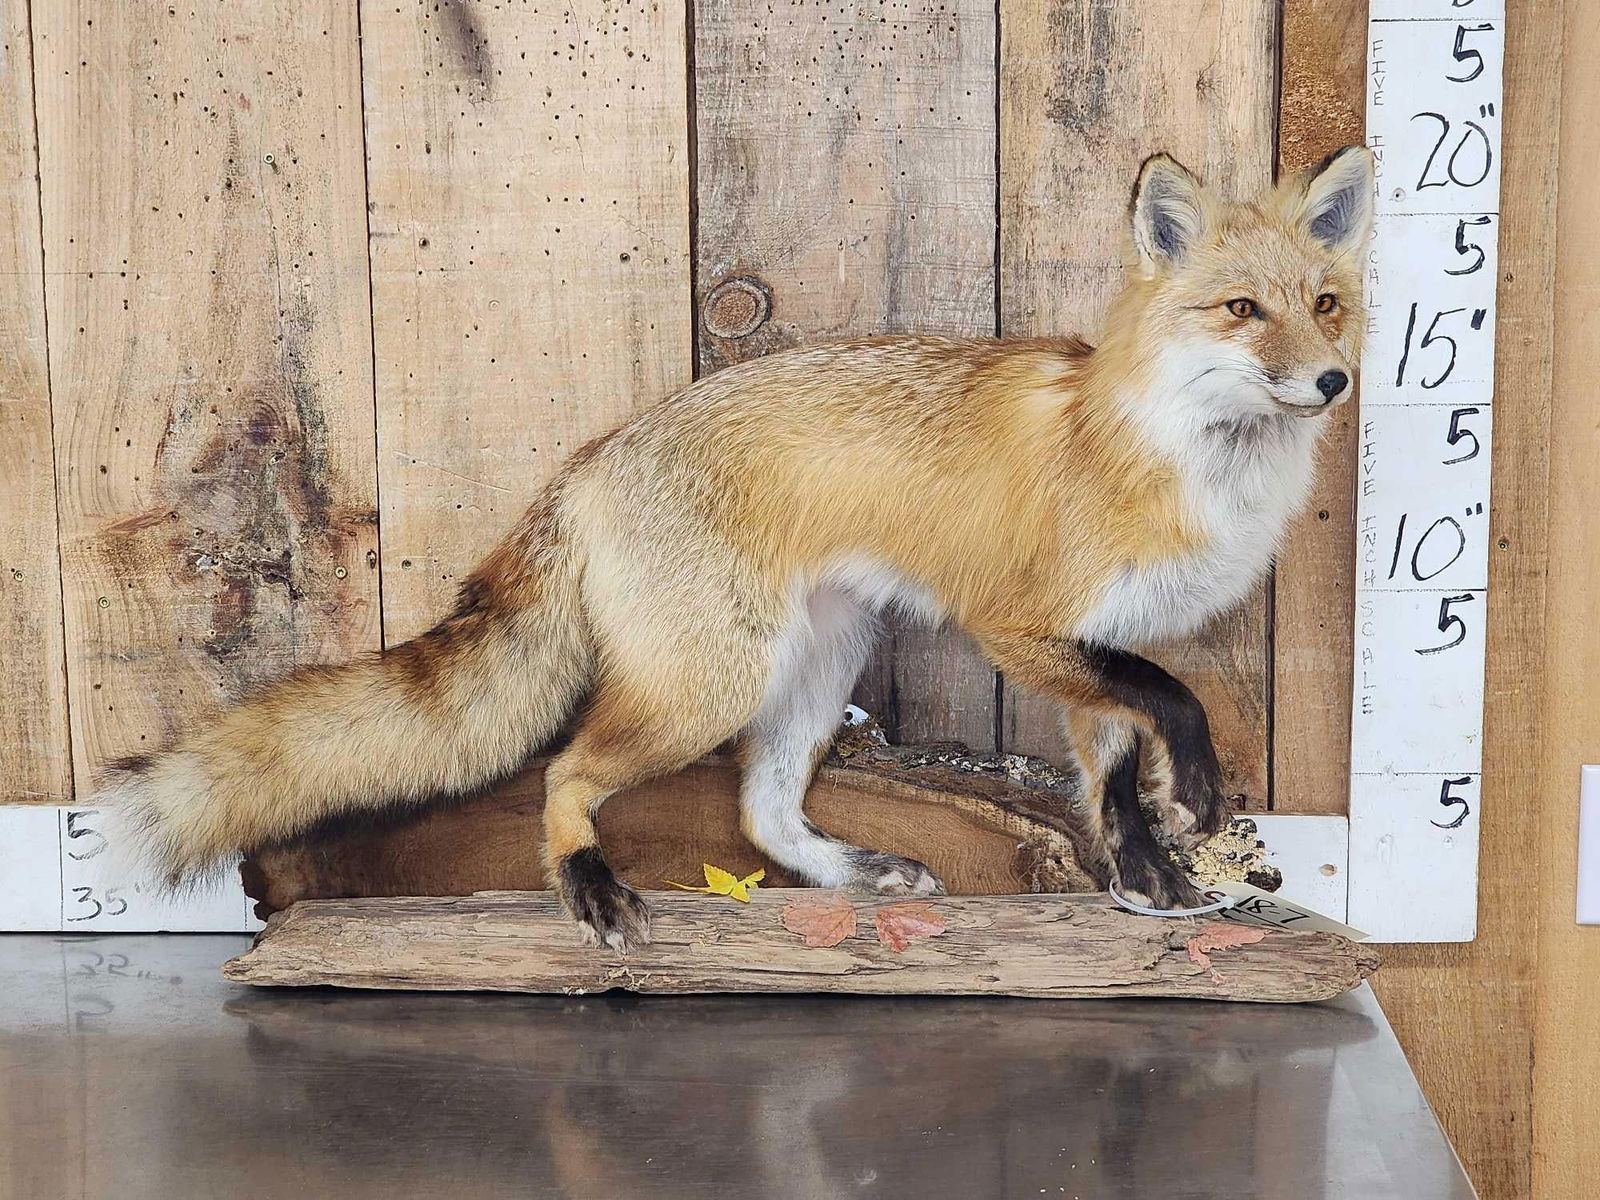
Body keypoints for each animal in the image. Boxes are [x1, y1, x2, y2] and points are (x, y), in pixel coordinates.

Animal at [100, 147, 1373, 952]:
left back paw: (852, 875)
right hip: (709, 685)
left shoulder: (1092, 648)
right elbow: (1173, 702)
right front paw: (1195, 796)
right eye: (1242, 312)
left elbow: (1113, 783)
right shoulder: (1024, 630)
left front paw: (1151, 886)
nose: (1331, 382)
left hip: (817, 661)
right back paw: (588, 889)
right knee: (566, 772)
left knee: (763, 814)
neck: (1174, 462)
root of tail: (596, 454)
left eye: (1325, 303)